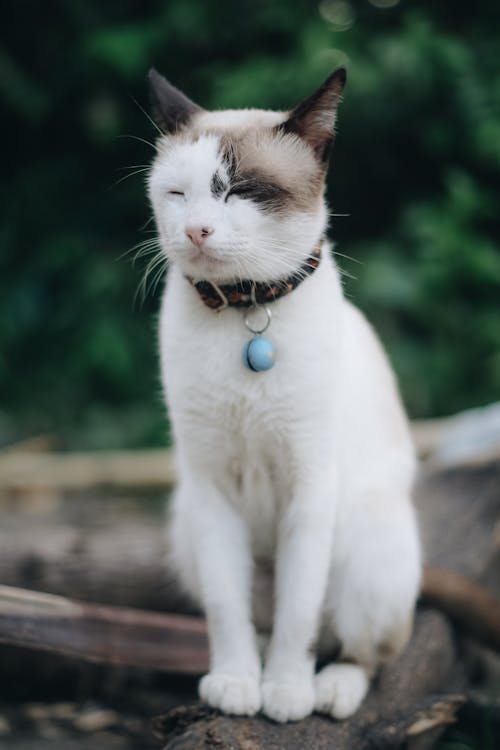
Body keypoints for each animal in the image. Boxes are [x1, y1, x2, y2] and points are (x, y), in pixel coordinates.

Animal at [147, 67, 422, 724]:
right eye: (177, 194)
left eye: (239, 191)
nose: (196, 229)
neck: (245, 308)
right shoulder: (213, 487)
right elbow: (229, 608)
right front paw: (237, 683)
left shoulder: (309, 482)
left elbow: (301, 610)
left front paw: (286, 692)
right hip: (186, 523)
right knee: (262, 617)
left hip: (366, 546)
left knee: (359, 647)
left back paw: (330, 690)